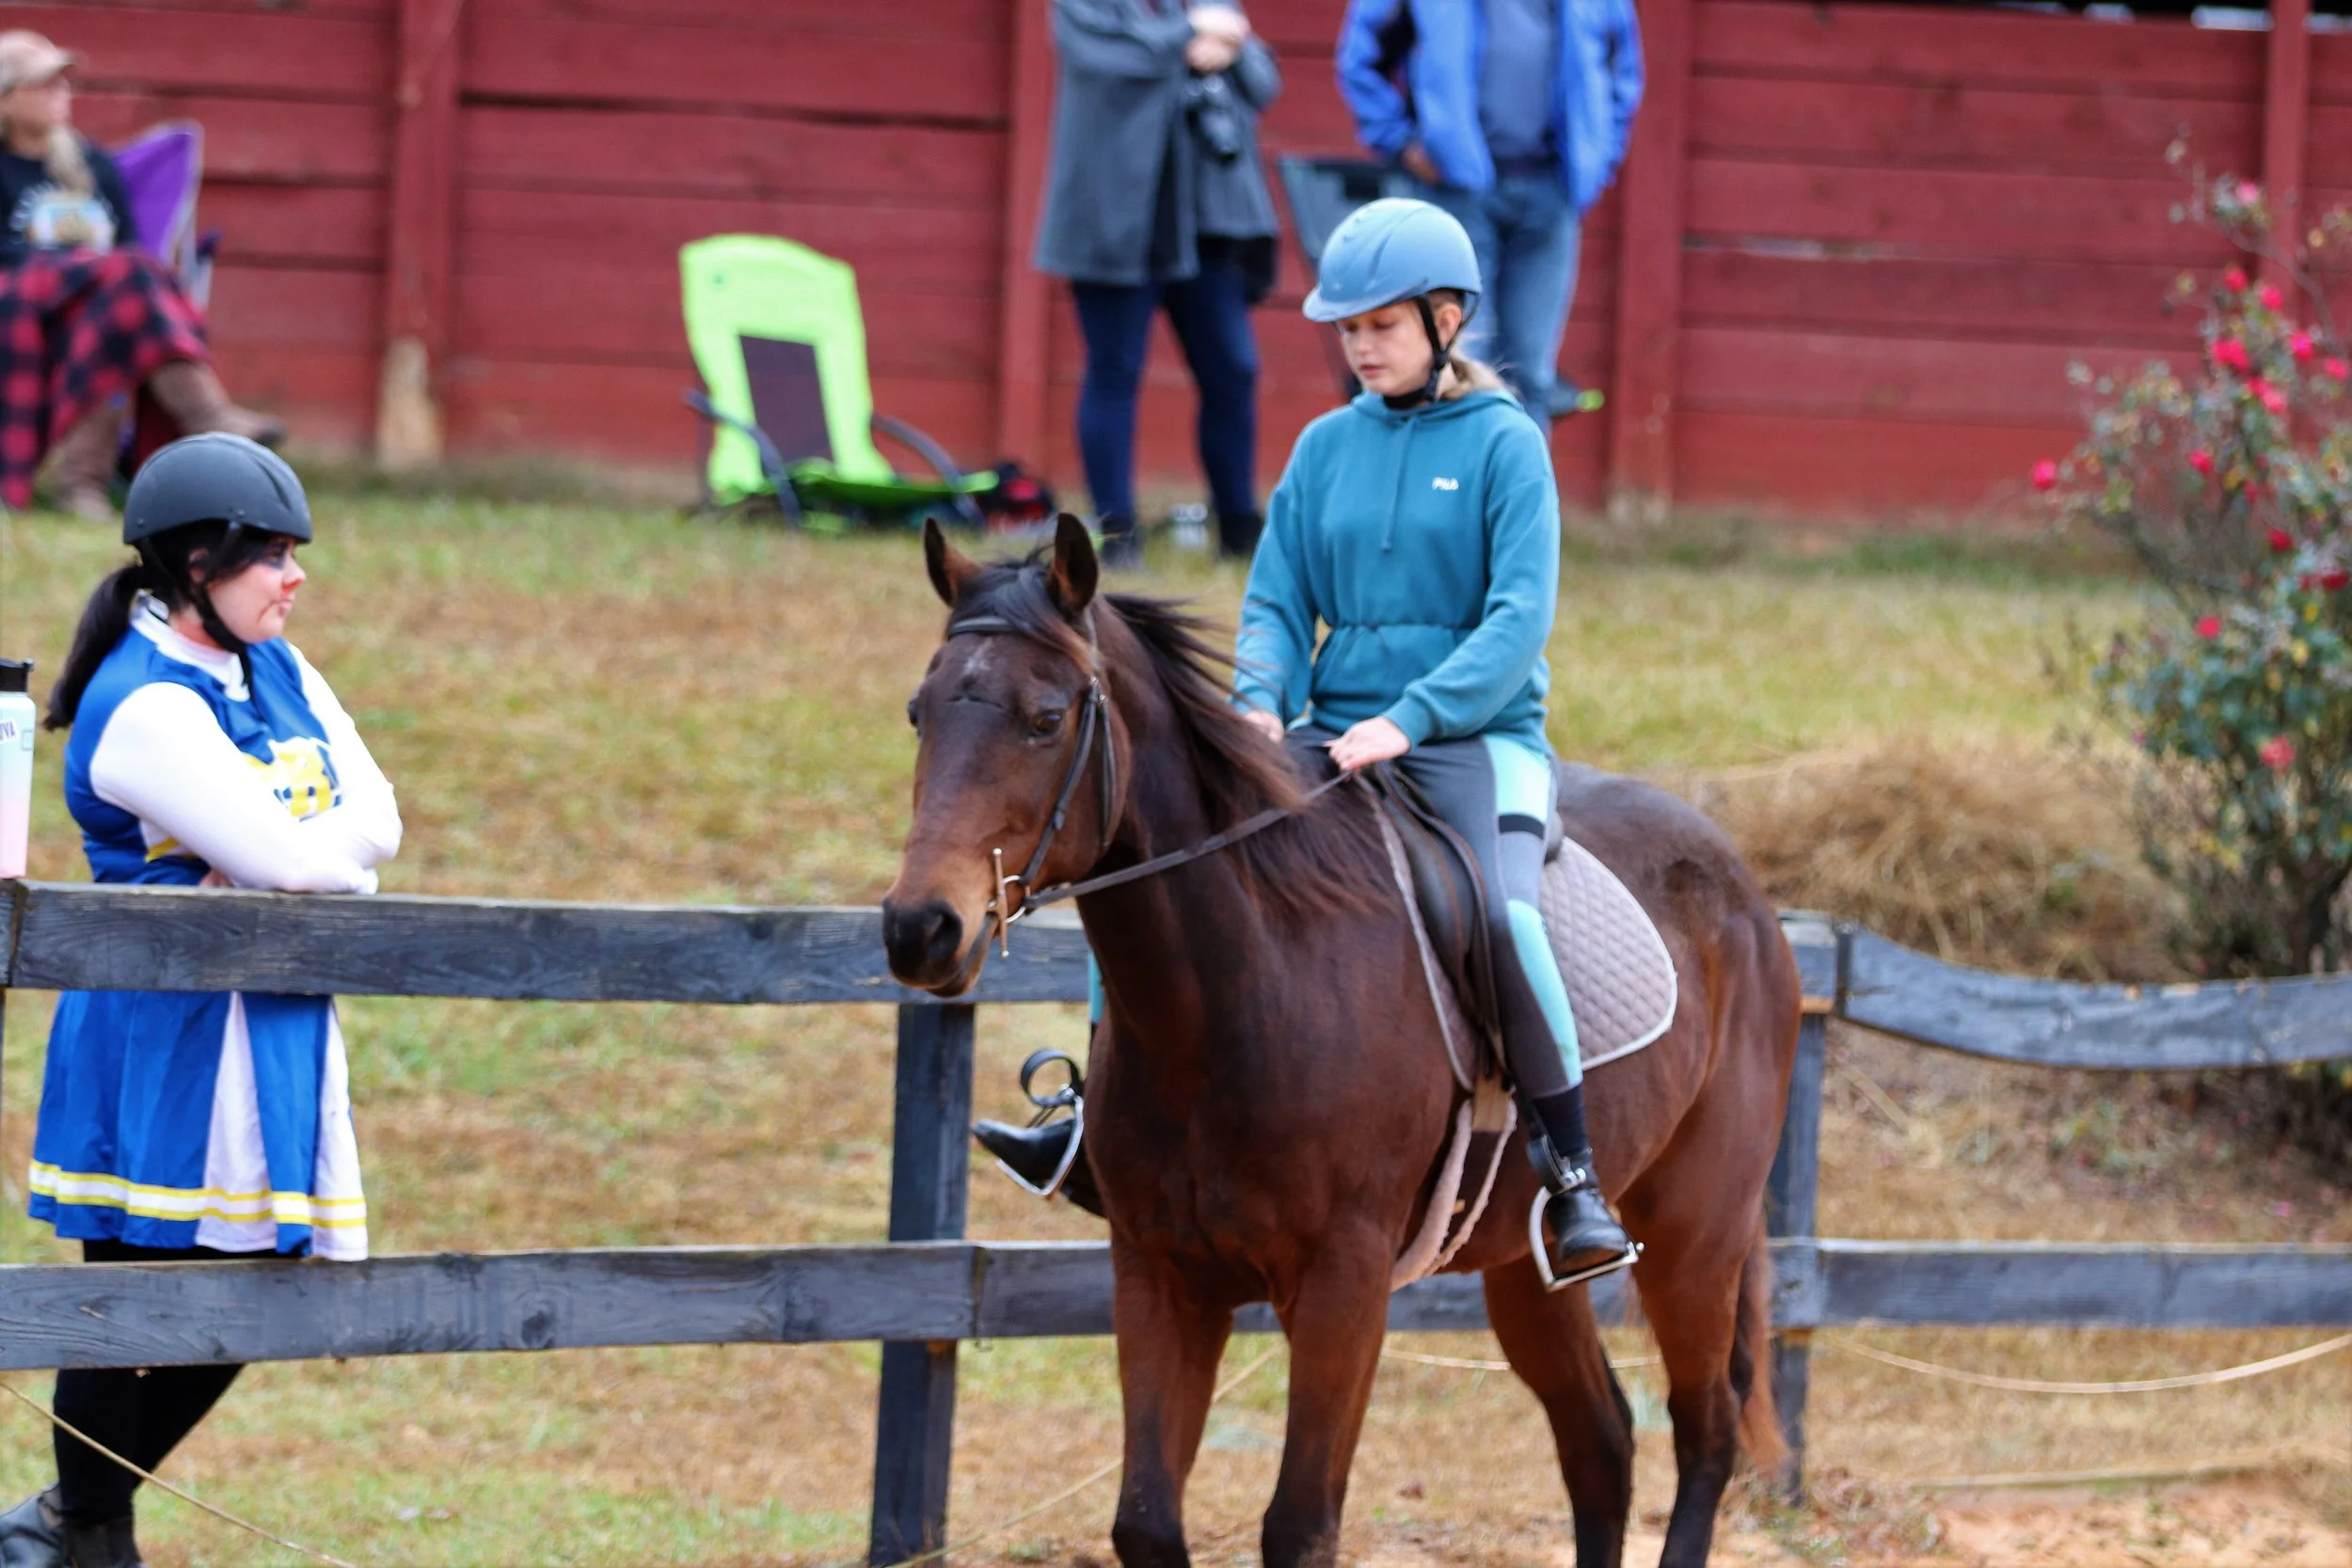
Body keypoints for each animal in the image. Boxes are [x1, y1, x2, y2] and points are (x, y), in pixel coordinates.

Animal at [882, 517, 1800, 1568]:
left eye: (1042, 718)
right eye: (919, 713)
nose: (920, 928)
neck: (1236, 1000)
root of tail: (1744, 885)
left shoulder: (1343, 1285)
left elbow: (1300, 1523)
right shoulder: (1159, 1273)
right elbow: (1145, 1521)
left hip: (1696, 1232)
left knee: (1705, 1431)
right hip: (1526, 1267)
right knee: (1601, 1442)